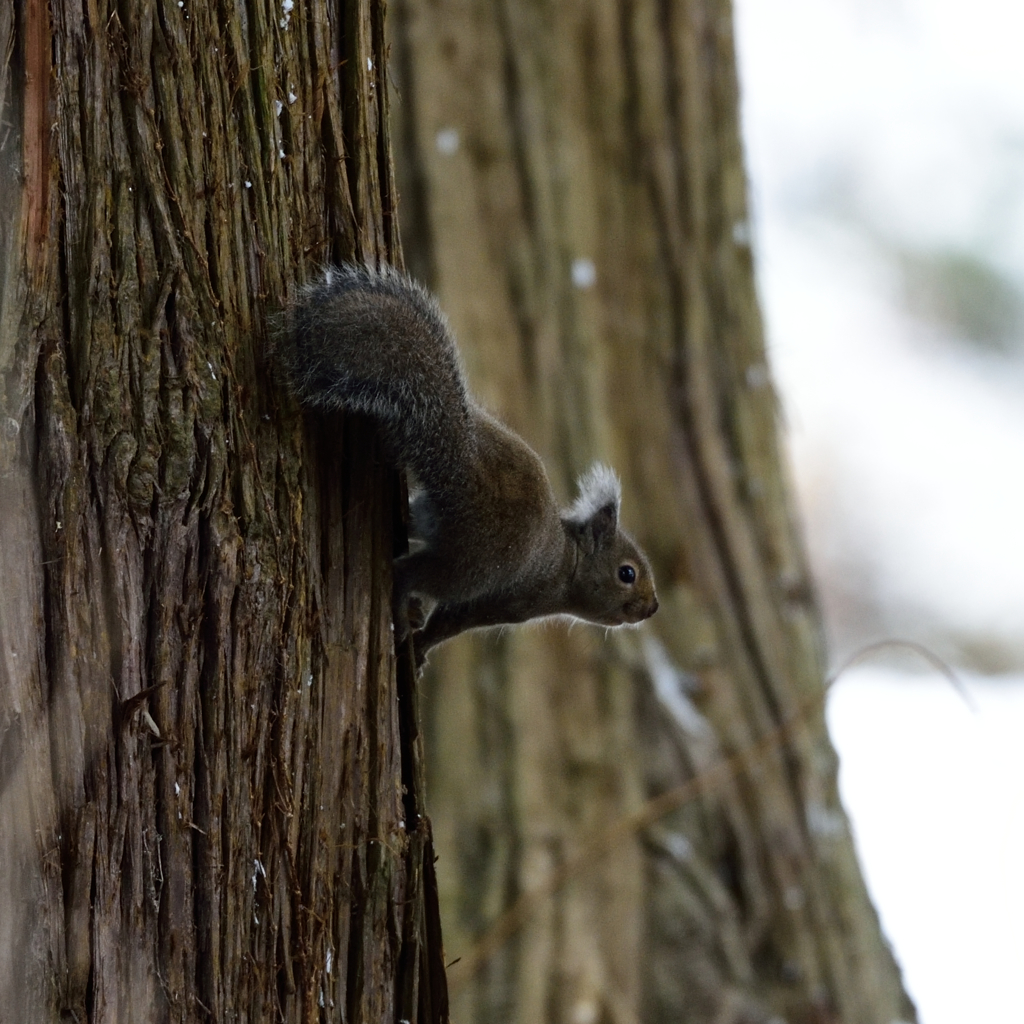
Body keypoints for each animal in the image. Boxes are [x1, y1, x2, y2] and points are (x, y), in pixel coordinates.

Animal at [274, 264, 655, 663]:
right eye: (627, 574)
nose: (652, 607)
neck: (568, 562)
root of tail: (462, 463)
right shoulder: (502, 602)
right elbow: (448, 624)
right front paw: (421, 649)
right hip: (470, 564)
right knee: (409, 573)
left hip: (438, 526)